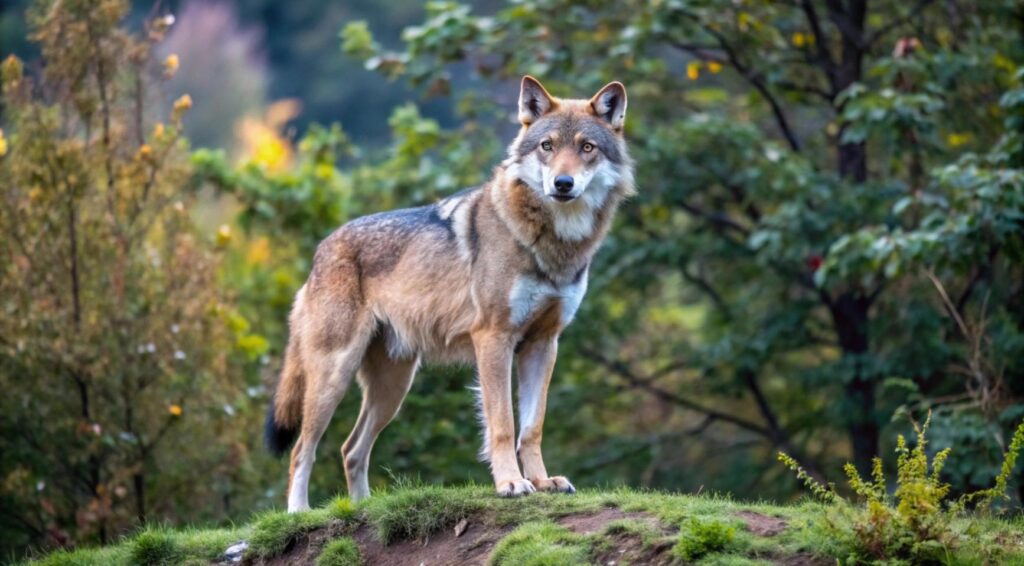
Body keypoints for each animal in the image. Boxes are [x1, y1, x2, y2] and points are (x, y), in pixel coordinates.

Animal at [265, 76, 635, 511]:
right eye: (547, 146)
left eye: (586, 148)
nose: (563, 184)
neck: (553, 243)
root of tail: (321, 251)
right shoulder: (493, 338)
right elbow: (503, 425)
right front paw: (511, 483)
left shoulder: (543, 343)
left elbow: (532, 427)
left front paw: (543, 482)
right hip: (333, 377)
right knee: (301, 449)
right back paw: (298, 512)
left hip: (393, 388)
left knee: (350, 449)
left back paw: (363, 507)